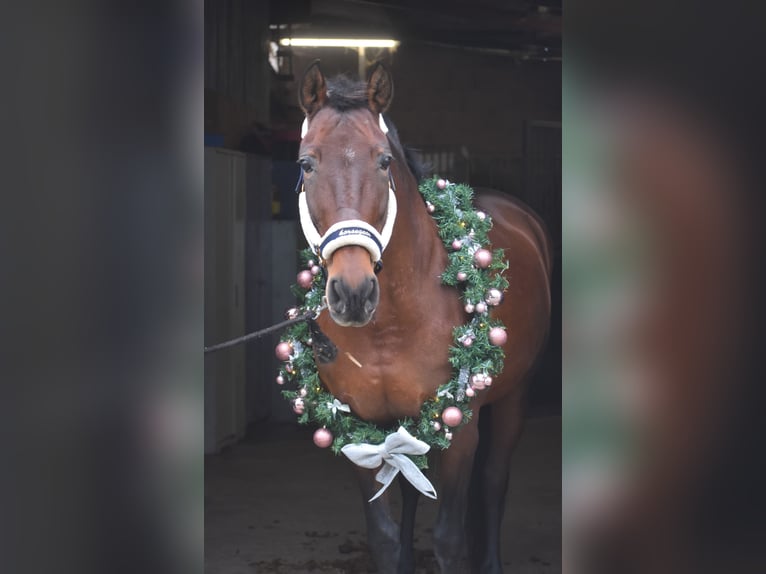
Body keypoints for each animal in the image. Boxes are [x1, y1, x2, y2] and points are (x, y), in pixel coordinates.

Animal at [296, 60, 556, 572]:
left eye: (383, 162)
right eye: (306, 164)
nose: (352, 293)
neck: (390, 327)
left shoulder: (461, 430)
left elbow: (450, 540)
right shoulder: (360, 430)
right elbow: (383, 534)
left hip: (513, 399)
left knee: (493, 482)